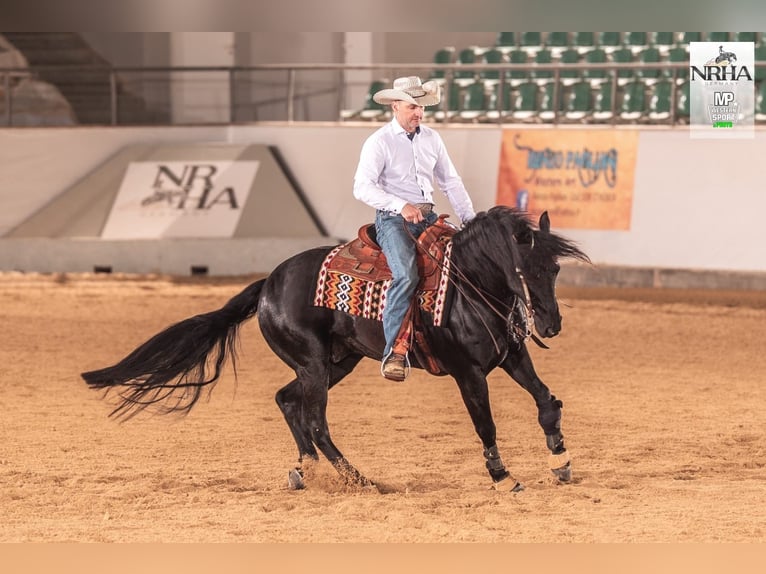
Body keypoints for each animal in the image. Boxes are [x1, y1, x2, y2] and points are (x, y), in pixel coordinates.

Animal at [81, 206, 590, 492]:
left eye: (555, 269)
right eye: (524, 268)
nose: (551, 324)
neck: (469, 286)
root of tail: (268, 284)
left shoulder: (511, 357)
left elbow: (546, 401)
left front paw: (561, 461)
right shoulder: (468, 373)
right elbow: (486, 425)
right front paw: (504, 478)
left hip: (335, 362)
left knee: (287, 401)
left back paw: (305, 472)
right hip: (313, 364)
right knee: (314, 420)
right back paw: (359, 480)